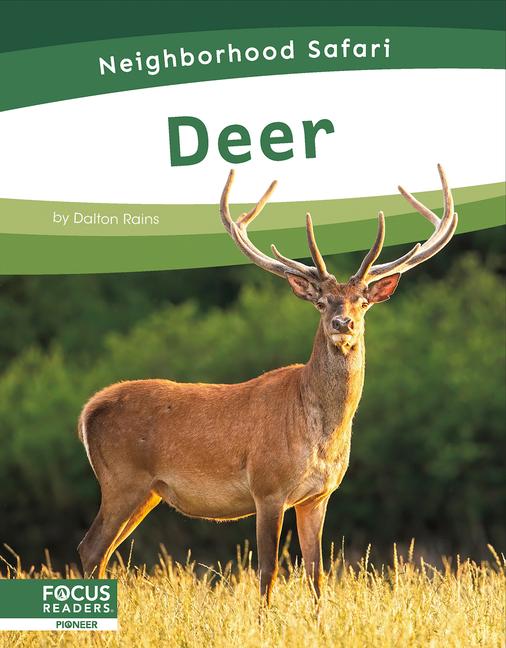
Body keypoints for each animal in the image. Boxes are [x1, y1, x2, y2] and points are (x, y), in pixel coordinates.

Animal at [77, 165, 458, 604]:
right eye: (322, 301)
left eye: (362, 301)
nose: (342, 323)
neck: (320, 434)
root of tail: (88, 411)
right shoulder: (267, 487)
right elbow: (268, 570)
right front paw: (264, 616)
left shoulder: (319, 495)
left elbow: (316, 573)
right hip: (122, 479)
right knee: (90, 547)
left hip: (147, 491)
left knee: (103, 551)